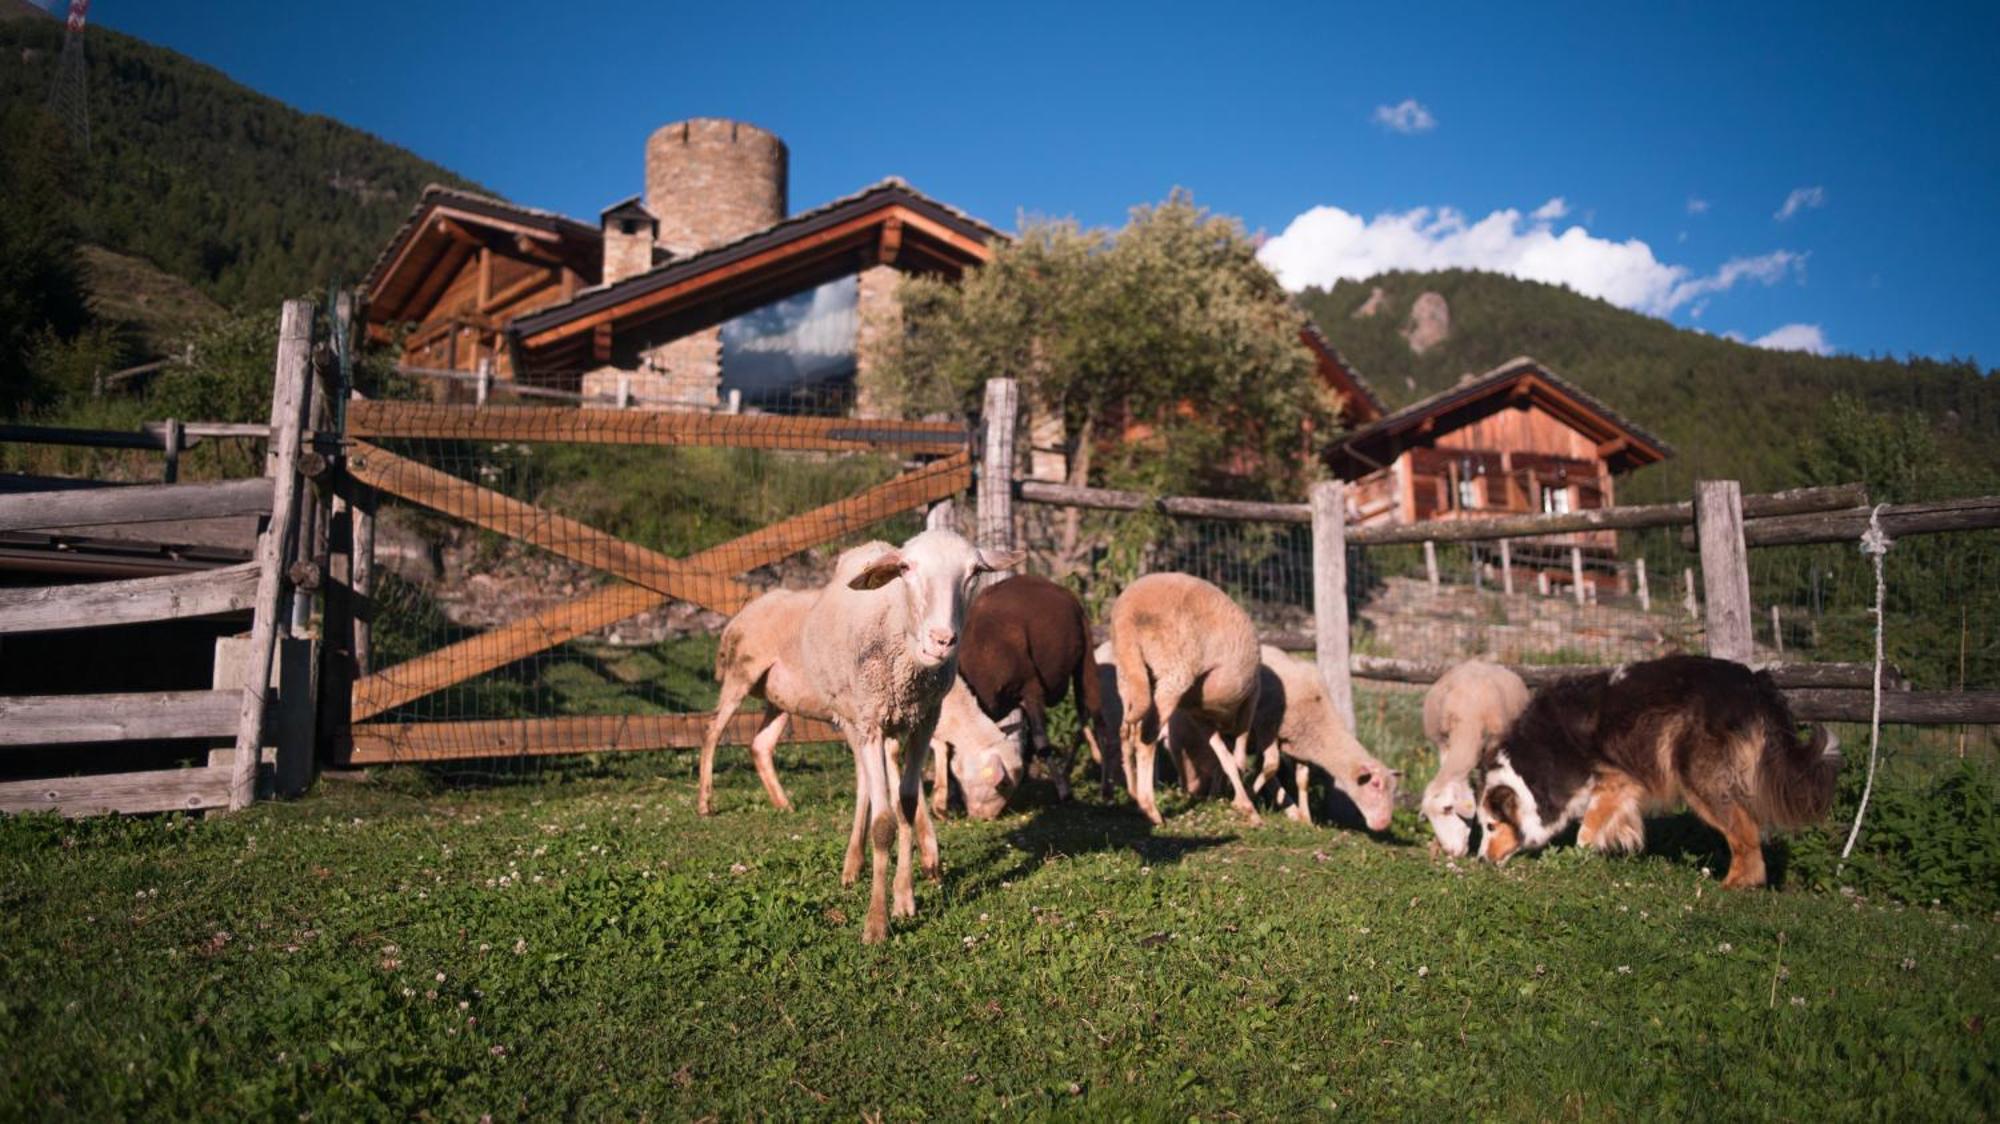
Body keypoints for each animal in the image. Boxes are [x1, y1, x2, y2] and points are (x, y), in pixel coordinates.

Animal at [788, 524, 1024, 936]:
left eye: (974, 572)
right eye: (906, 568)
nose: (943, 640)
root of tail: (869, 547)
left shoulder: (923, 722)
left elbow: (908, 805)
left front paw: (904, 899)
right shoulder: (869, 720)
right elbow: (883, 820)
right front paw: (876, 922)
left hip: (892, 722)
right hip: (850, 717)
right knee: (864, 782)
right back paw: (853, 864)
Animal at [948, 568, 1120, 804]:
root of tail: (1063, 592)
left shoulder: (1032, 690)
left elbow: (1042, 744)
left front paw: (1063, 791)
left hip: (1085, 663)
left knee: (1097, 722)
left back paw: (1106, 789)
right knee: (1083, 719)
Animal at [1104, 572, 1256, 820]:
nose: (1194, 790)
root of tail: (1127, 613)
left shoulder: (1200, 717)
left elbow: (1223, 755)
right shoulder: (1249, 702)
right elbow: (1238, 756)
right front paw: (1247, 806)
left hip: (1130, 671)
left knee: (1126, 733)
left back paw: (1134, 794)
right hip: (1174, 673)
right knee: (1146, 737)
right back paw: (1151, 809)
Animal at [1480, 656, 1832, 884]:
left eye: (1491, 826)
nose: (1481, 861)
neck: (1533, 771)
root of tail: (1755, 683)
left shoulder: (1616, 781)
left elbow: (1585, 834)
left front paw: (1578, 860)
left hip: (1699, 777)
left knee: (1745, 833)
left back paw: (1732, 886)